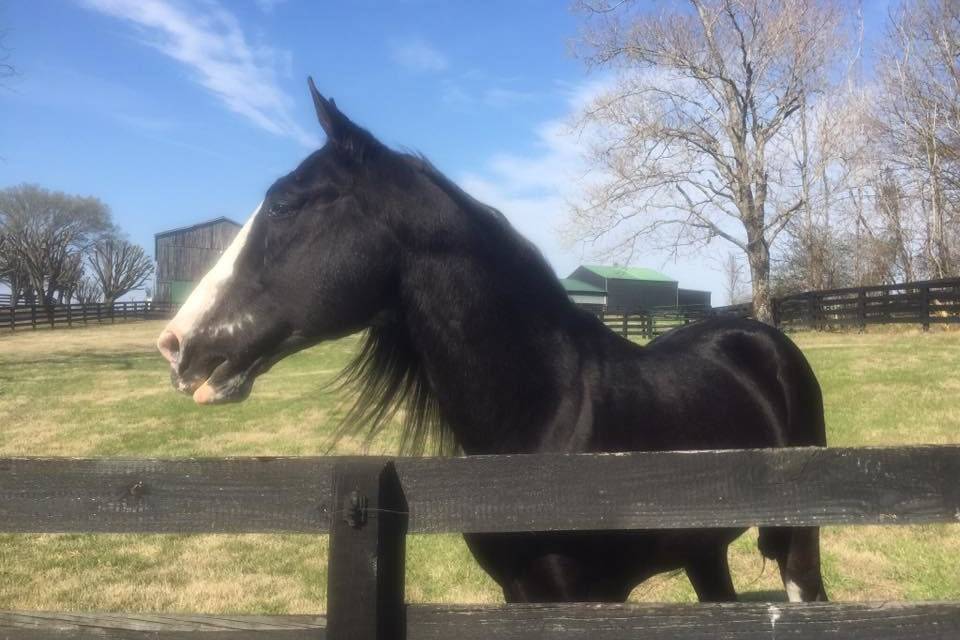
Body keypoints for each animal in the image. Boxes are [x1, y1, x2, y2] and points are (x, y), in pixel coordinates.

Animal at [156, 80, 824, 604]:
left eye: (284, 206)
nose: (175, 344)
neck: (542, 415)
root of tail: (766, 339)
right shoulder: (518, 593)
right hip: (703, 551)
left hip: (796, 542)